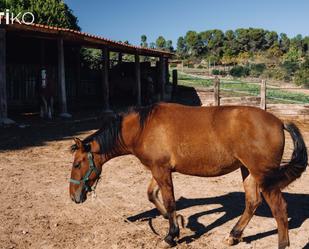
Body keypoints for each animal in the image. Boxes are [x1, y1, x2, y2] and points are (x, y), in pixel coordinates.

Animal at [68, 102, 306, 248]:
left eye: (78, 163)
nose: (74, 196)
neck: (143, 128)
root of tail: (279, 122)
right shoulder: (158, 169)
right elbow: (152, 195)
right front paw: (178, 221)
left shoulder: (161, 170)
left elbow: (170, 201)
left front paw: (171, 235)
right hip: (248, 171)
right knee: (252, 202)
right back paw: (233, 235)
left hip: (265, 178)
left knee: (279, 210)